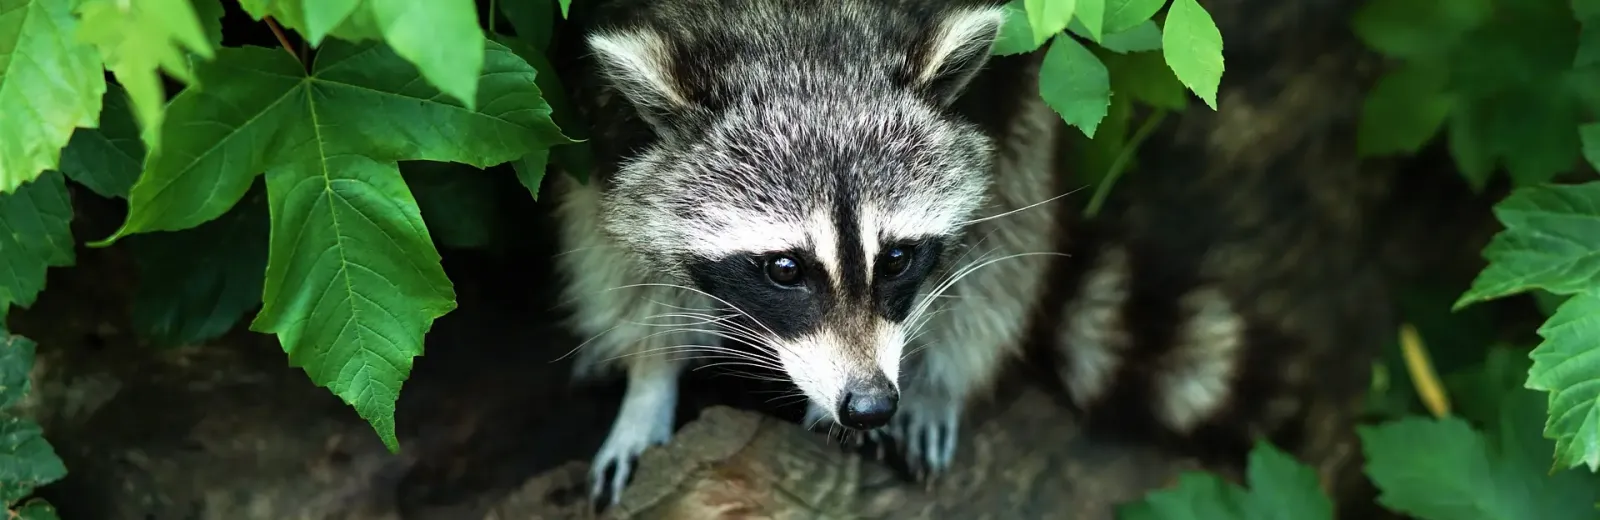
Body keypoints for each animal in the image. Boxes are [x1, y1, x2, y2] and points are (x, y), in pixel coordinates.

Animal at [544, 0, 1068, 505]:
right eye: (785, 269)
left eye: (896, 259)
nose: (871, 405)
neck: (801, 35)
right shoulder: (599, 111)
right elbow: (619, 247)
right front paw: (650, 380)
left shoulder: (1001, 89)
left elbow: (992, 228)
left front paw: (927, 383)